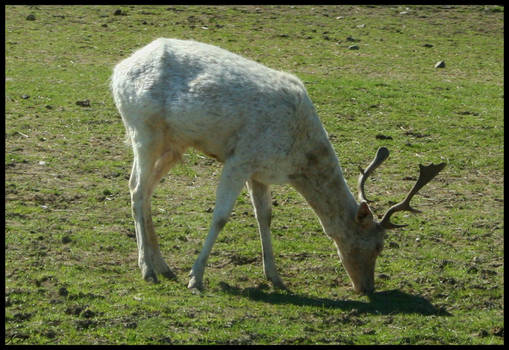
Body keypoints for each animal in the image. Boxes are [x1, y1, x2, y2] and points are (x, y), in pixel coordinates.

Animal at [111, 38, 444, 296]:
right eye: (378, 246)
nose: (367, 288)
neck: (296, 157)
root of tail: (117, 71)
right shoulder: (240, 158)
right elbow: (220, 217)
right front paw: (196, 278)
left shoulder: (260, 172)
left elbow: (265, 217)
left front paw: (276, 278)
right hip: (143, 130)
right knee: (137, 188)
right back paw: (147, 270)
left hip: (173, 145)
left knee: (143, 189)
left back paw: (163, 266)